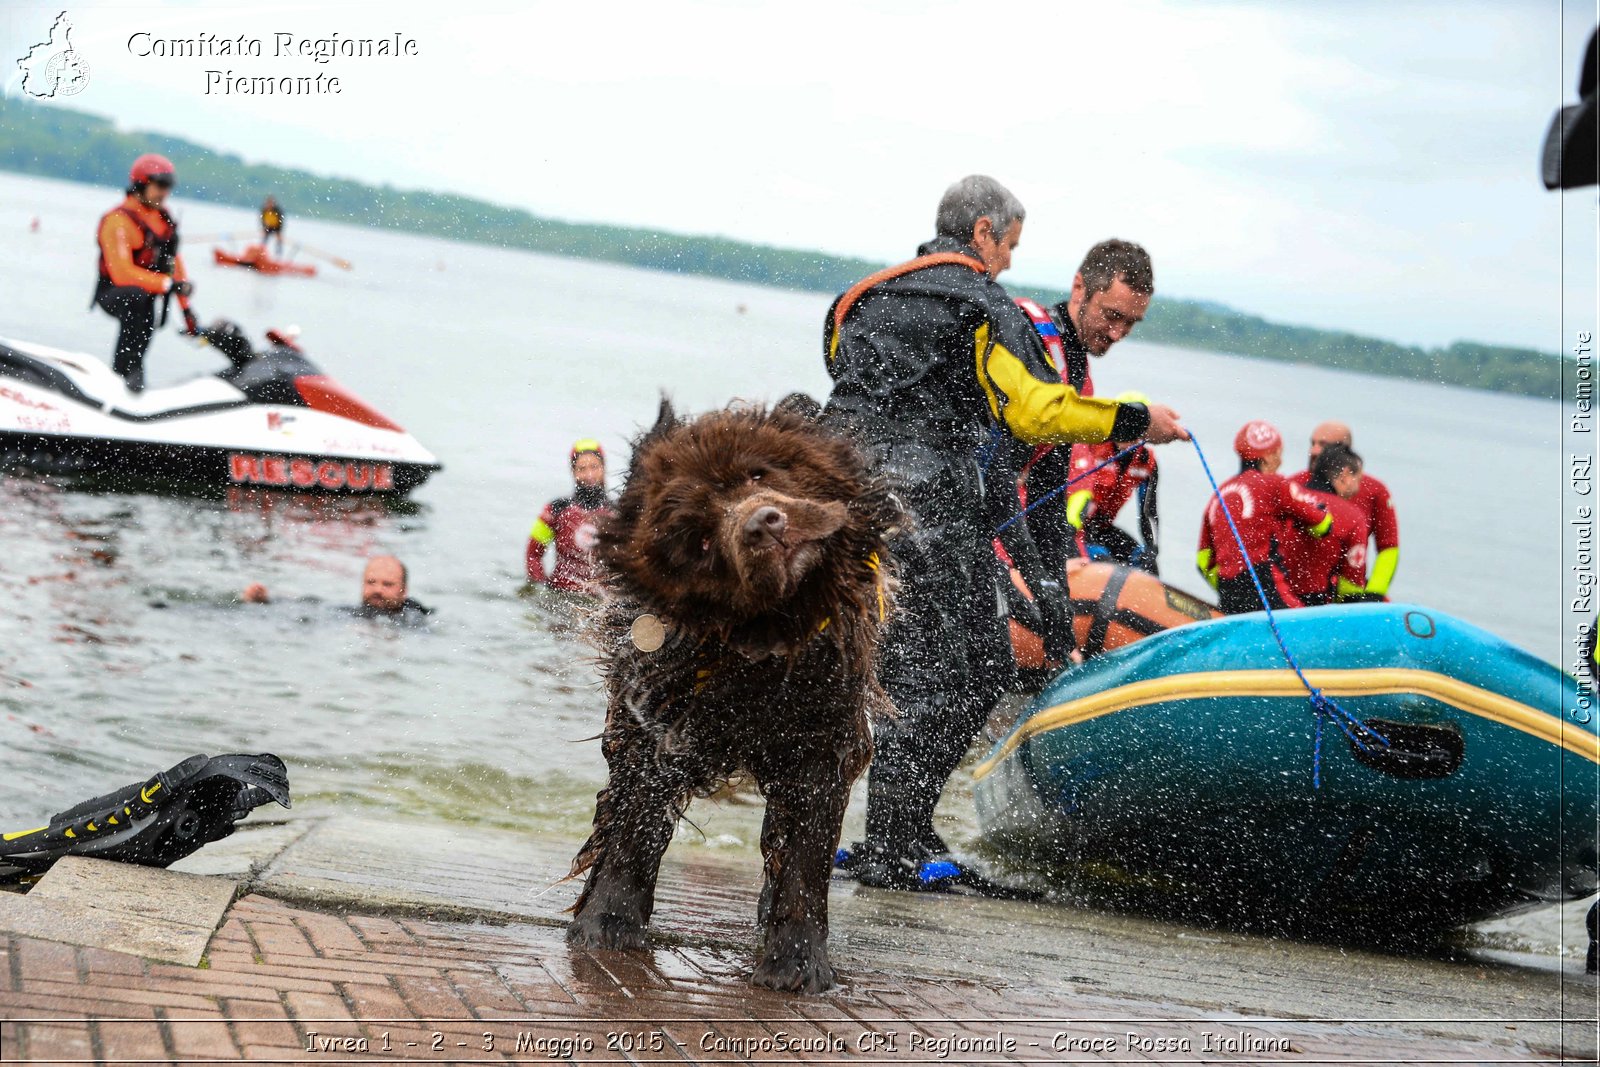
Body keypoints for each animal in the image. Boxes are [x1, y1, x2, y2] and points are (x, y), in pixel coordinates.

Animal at [569, 398, 902, 991]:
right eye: (698, 539)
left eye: (759, 475)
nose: (765, 523)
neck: (760, 652)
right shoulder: (662, 723)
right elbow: (637, 823)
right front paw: (607, 924)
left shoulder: (822, 740)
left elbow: (805, 857)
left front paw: (796, 961)